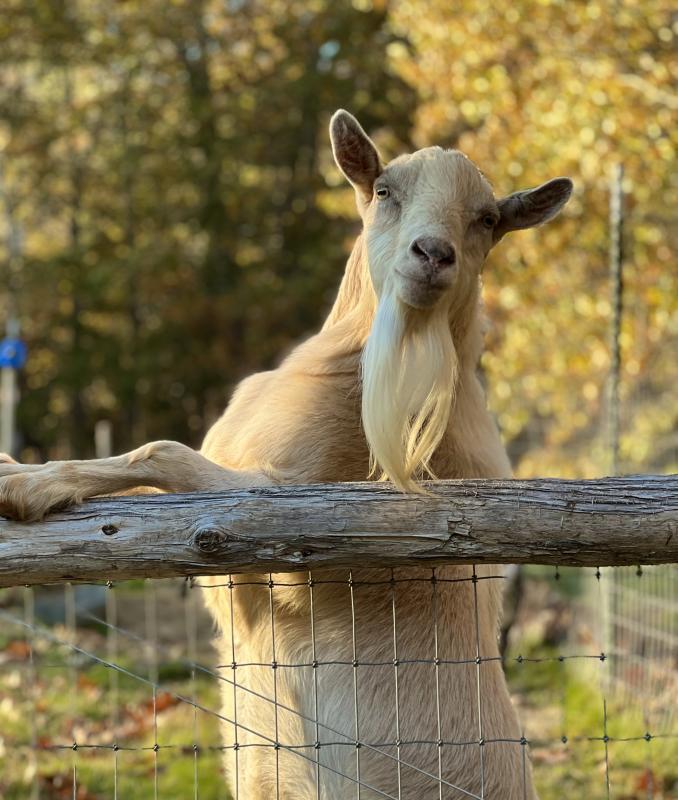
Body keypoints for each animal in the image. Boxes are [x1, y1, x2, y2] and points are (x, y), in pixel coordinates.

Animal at [0, 110, 572, 798]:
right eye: (384, 189)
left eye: (487, 218)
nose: (434, 255)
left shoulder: (275, 527)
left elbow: (162, 453)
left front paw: (21, 483)